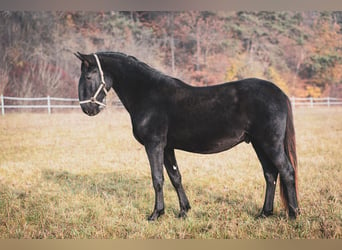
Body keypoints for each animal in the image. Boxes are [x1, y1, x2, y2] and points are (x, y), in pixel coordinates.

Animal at [75, 51, 300, 220]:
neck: (148, 94)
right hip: (258, 144)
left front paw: (156, 214)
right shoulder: (167, 147)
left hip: (270, 144)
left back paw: (293, 214)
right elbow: (175, 177)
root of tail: (279, 93)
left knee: (287, 171)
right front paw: (184, 211)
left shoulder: (154, 144)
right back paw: (264, 213)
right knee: (270, 174)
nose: (87, 109)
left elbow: (157, 178)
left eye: (88, 76)